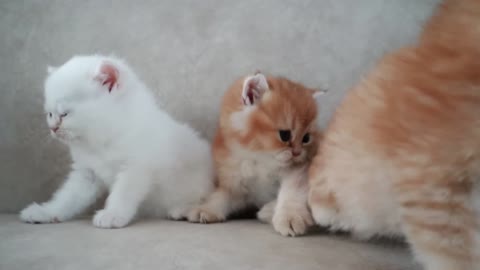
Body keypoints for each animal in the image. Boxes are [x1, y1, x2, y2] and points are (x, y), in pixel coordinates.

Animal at [19, 54, 214, 228]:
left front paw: (112, 214)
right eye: (50, 114)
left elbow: (123, 193)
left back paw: (181, 209)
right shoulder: (86, 173)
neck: (103, 139)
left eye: (65, 114)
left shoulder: (136, 168)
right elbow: (67, 197)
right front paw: (47, 212)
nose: (53, 128)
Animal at [188, 72, 322, 236]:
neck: (259, 159)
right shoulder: (235, 183)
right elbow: (221, 197)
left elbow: (292, 191)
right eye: (285, 135)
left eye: (306, 138)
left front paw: (289, 216)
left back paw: (267, 211)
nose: (297, 152)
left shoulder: (300, 169)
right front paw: (206, 209)